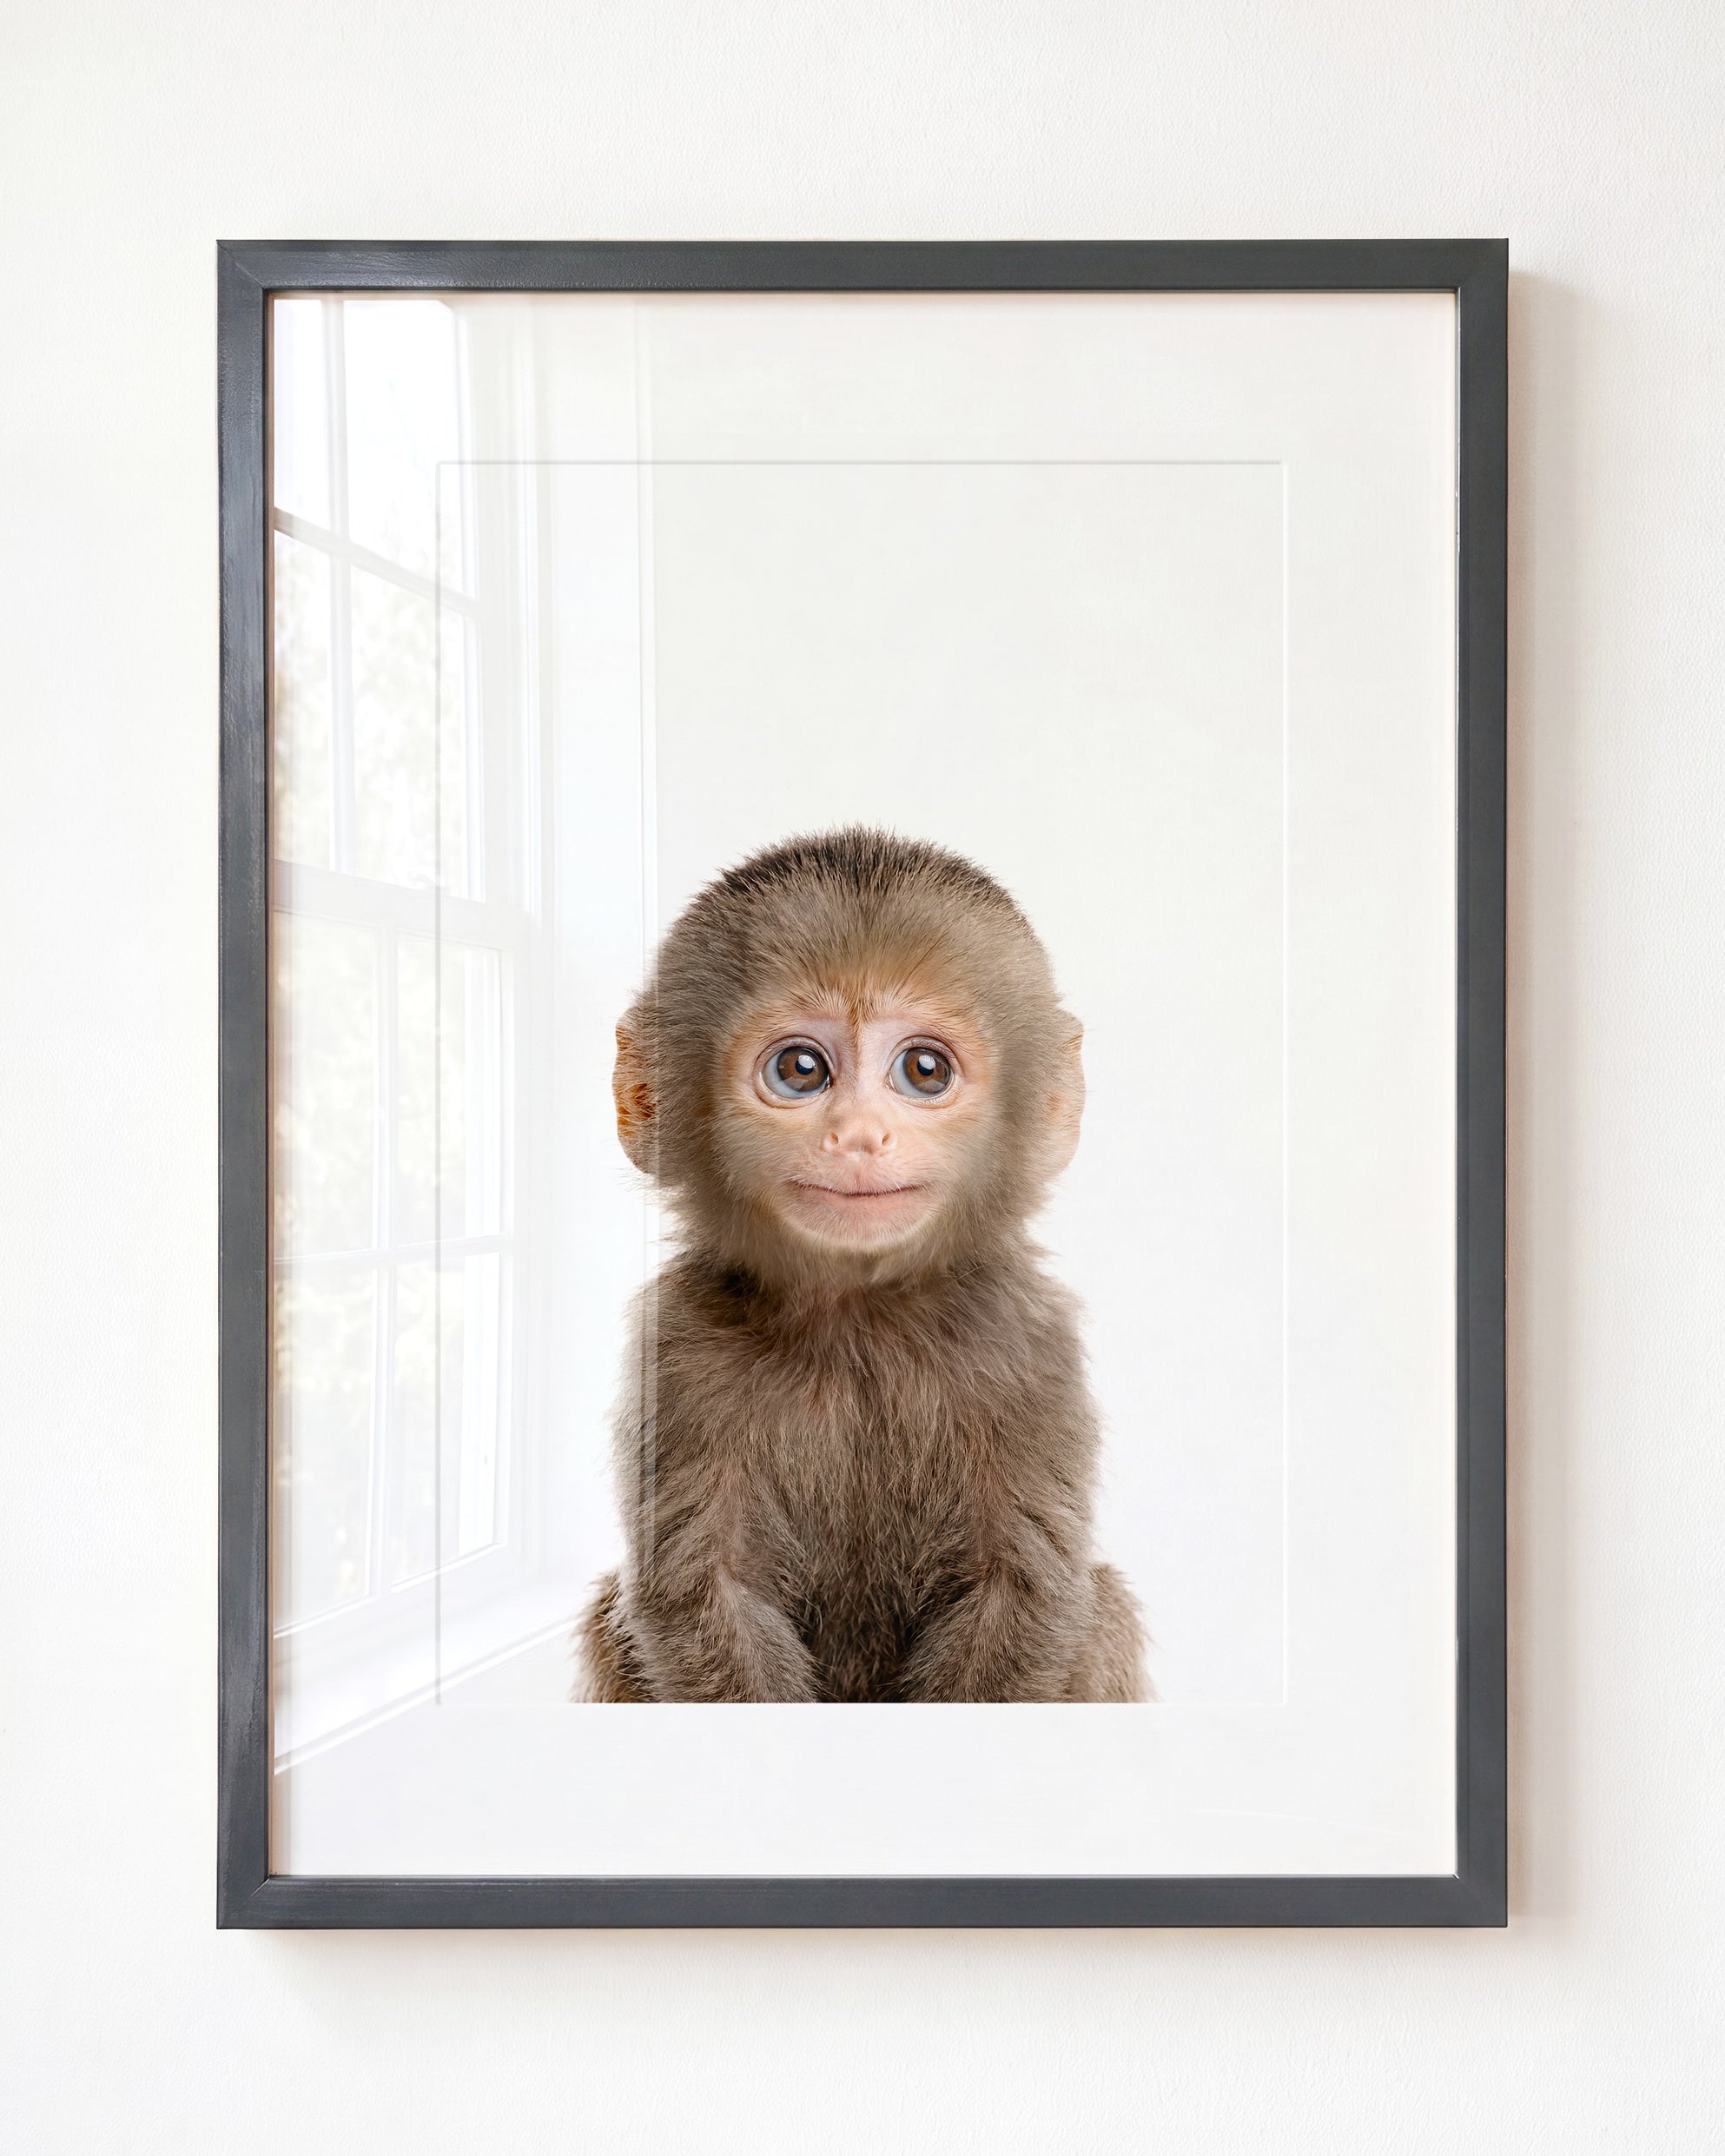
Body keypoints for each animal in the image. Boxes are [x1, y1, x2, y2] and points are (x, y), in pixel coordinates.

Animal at [574, 826, 1147, 1703]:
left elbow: (1020, 1590)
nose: (859, 1136)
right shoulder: (676, 1350)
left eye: (924, 1070)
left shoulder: (1030, 1345)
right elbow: (704, 1594)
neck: (859, 1320)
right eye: (801, 1070)